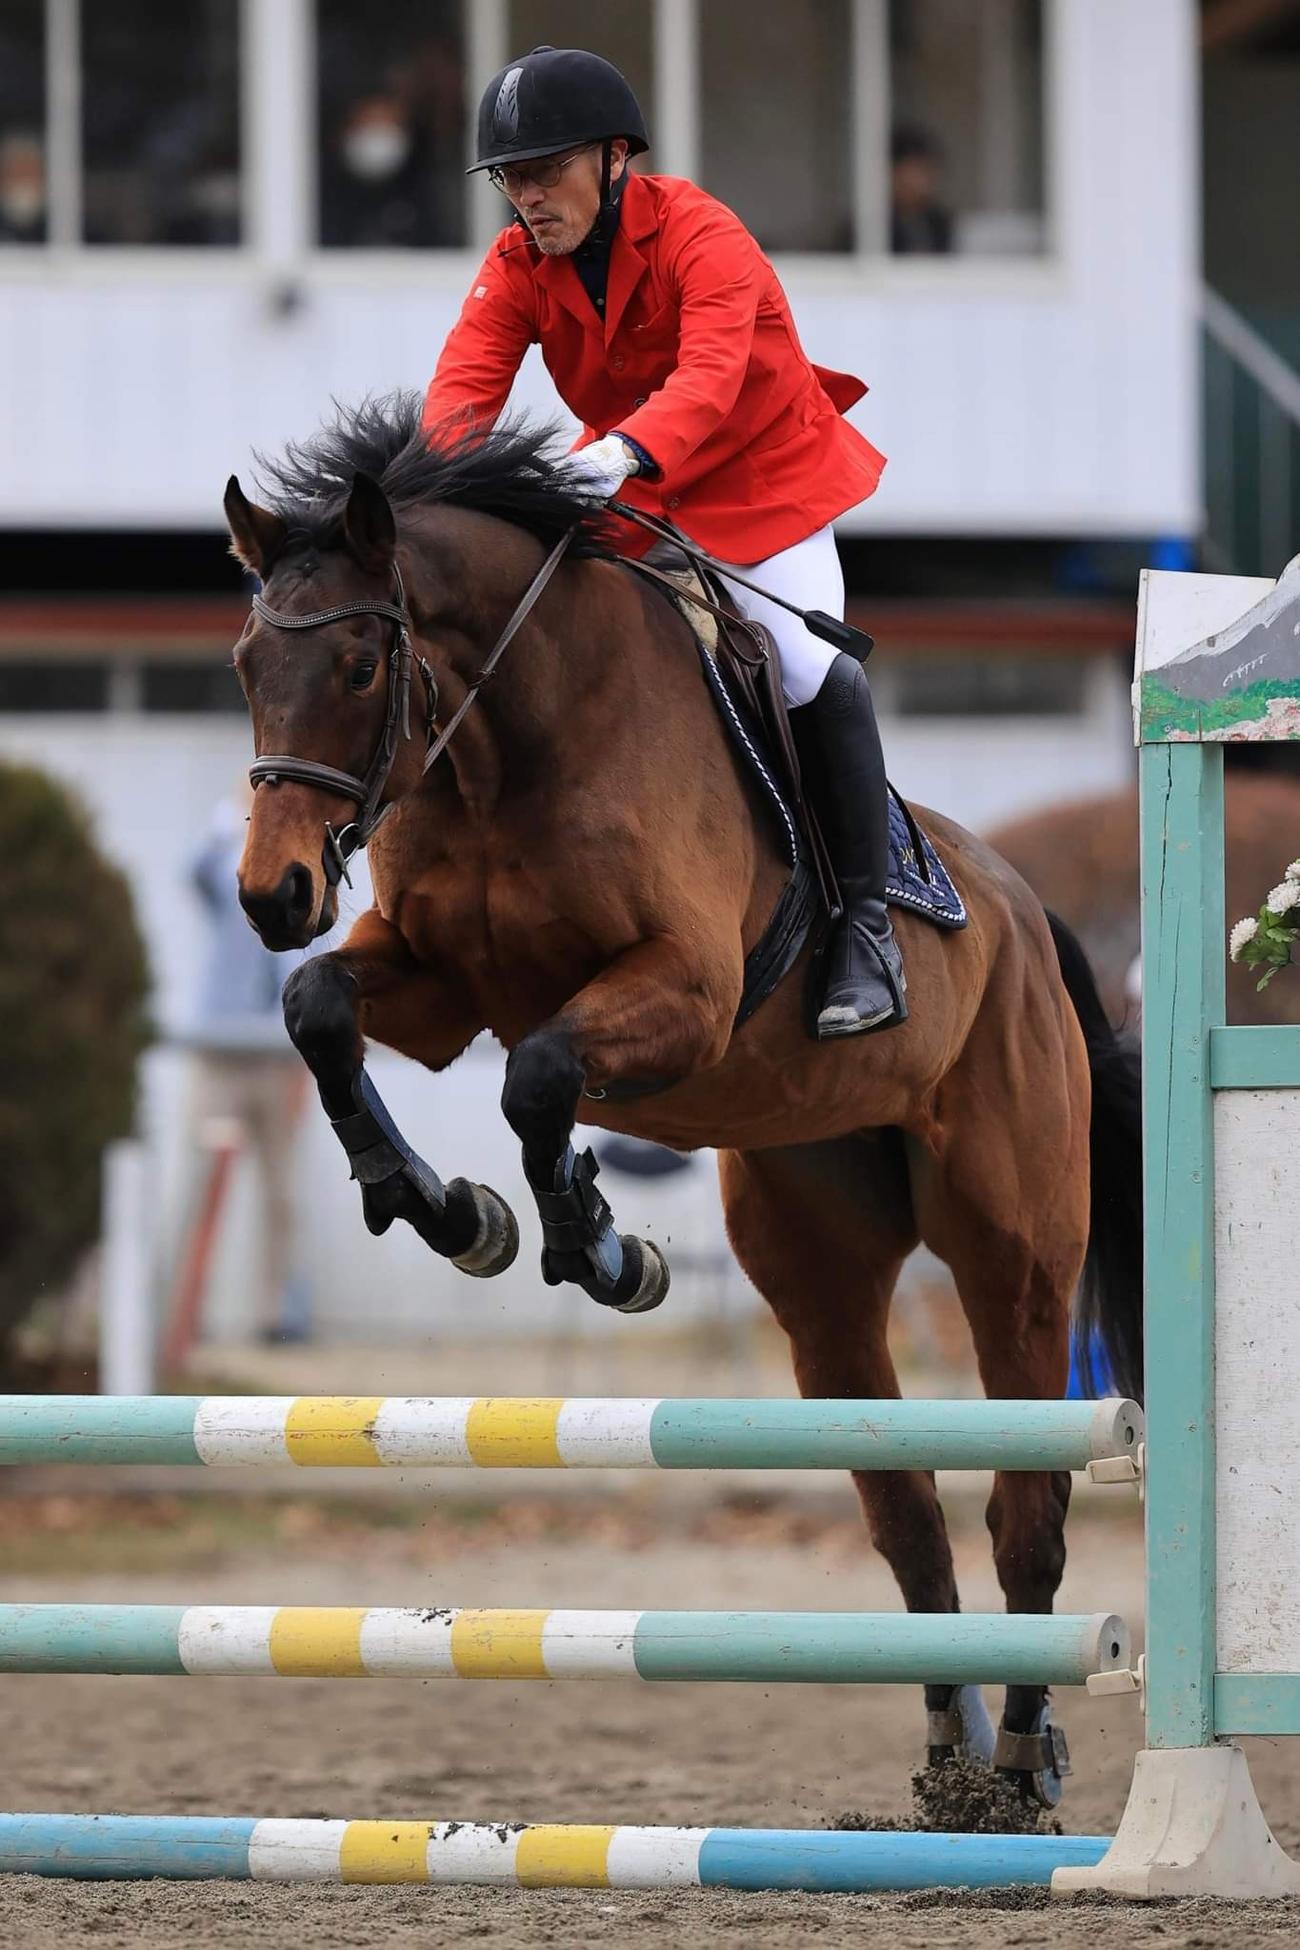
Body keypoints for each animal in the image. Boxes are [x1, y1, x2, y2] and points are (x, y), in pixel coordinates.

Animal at [227, 394, 1142, 1809]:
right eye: (242, 667)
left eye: (363, 669)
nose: (273, 895)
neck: (505, 743)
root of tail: (1029, 910)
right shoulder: (435, 985)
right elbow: (323, 1009)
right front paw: (450, 1211)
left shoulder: (687, 994)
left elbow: (541, 1074)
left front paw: (596, 1245)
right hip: (818, 1272)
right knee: (904, 1512)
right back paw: (949, 1754)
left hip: (1015, 1249)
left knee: (1026, 1507)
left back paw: (1019, 1765)